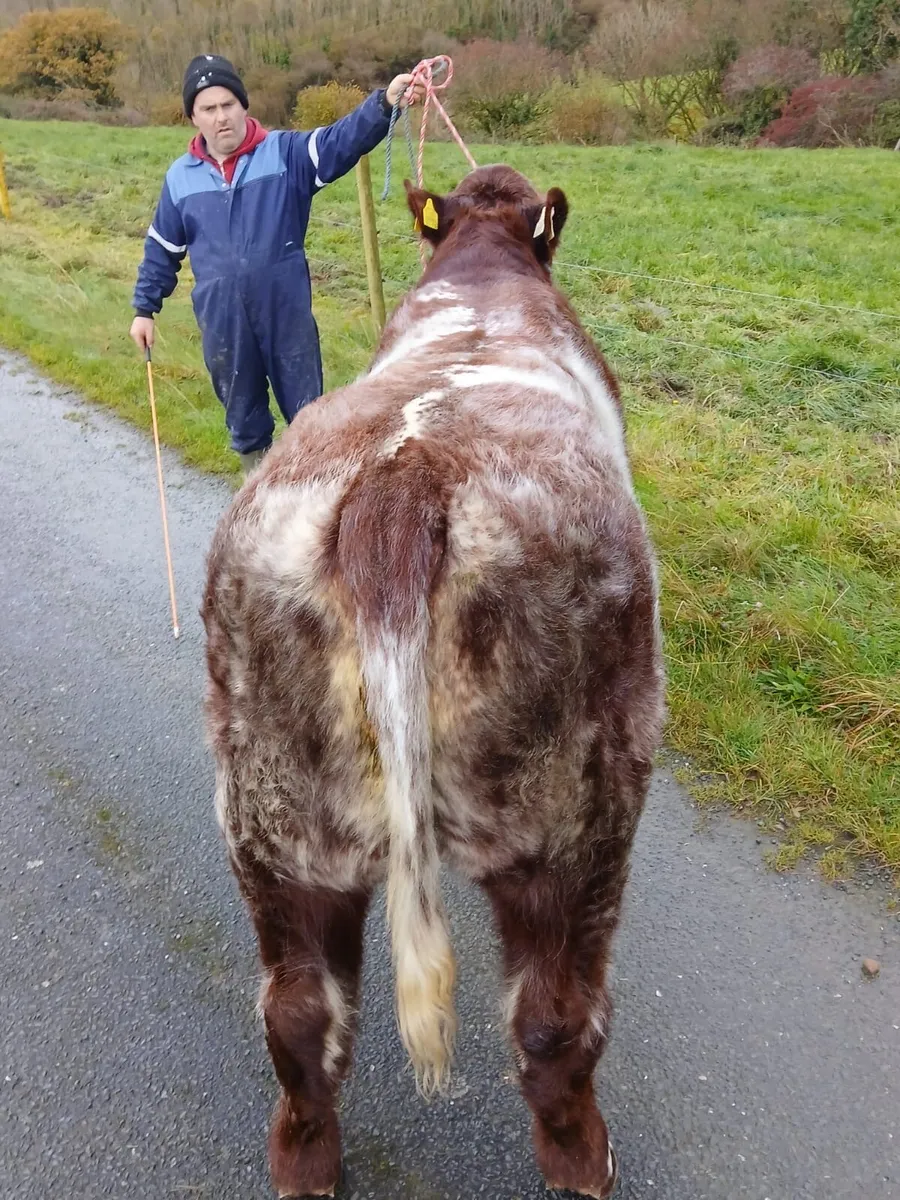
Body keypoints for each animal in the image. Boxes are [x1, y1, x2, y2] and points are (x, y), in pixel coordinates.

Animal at [202, 163, 665, 1199]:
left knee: (297, 1010)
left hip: (273, 816)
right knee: (554, 1014)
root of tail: (399, 482)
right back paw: (585, 1158)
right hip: (576, 815)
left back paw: (306, 1163)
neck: (487, 273)